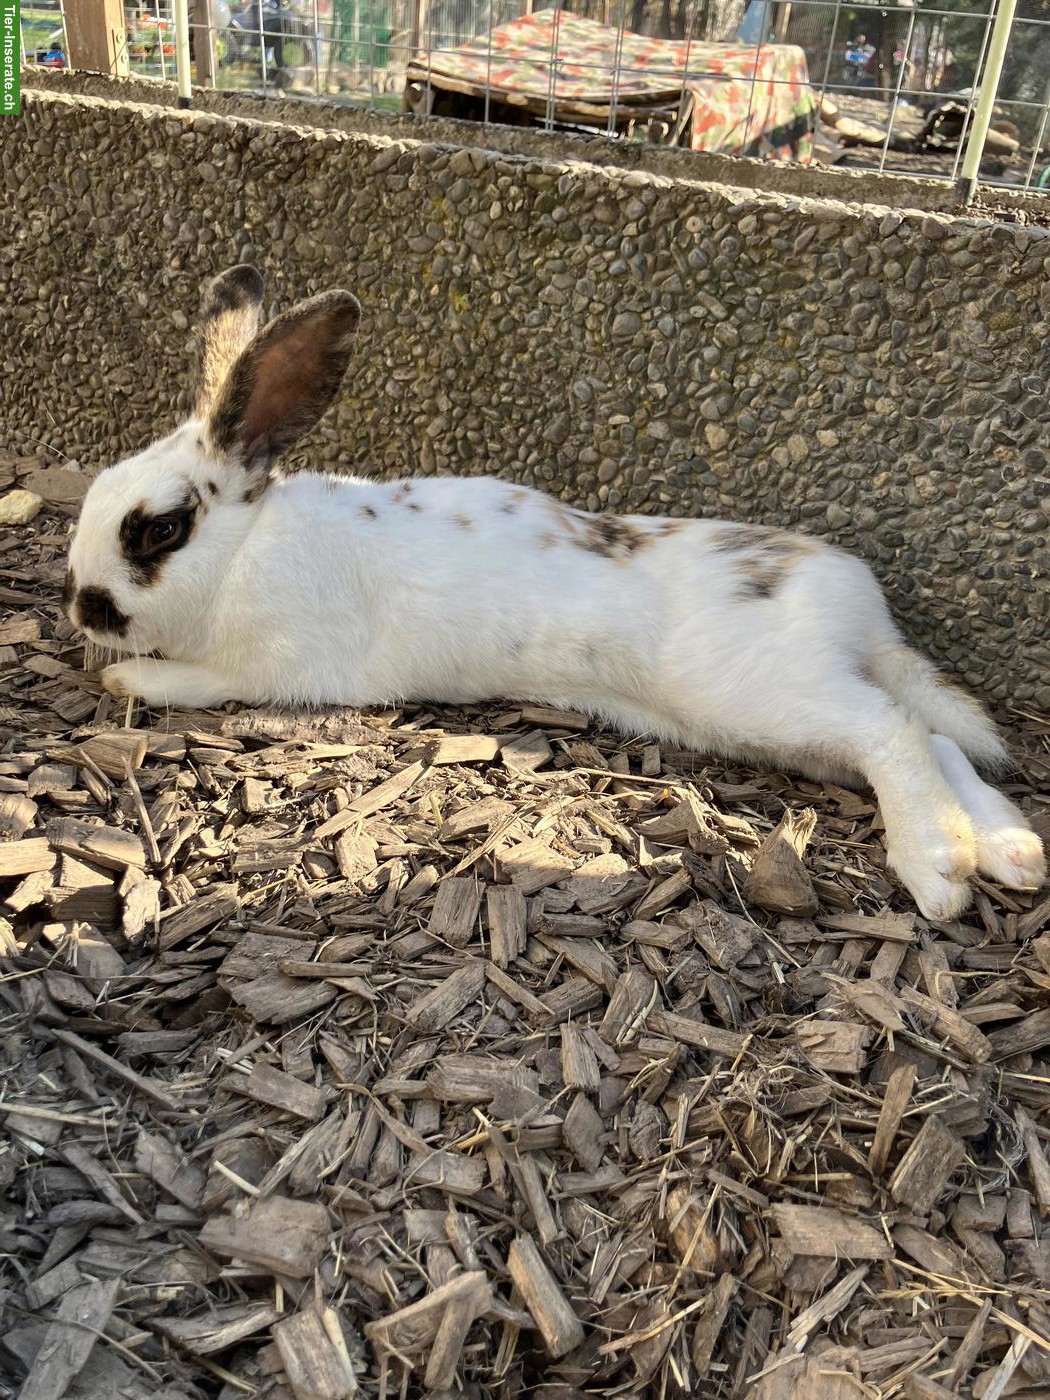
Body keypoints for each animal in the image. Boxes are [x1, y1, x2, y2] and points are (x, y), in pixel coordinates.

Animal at [65, 265, 1046, 922]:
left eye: (158, 530)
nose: (81, 604)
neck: (246, 549)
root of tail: (862, 612)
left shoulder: (273, 668)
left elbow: (195, 682)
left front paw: (127, 678)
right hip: (783, 725)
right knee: (928, 734)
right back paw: (1011, 851)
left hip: (768, 694)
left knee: (893, 731)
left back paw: (940, 870)